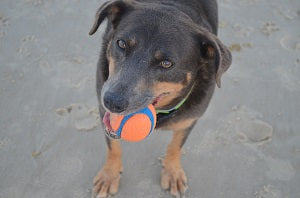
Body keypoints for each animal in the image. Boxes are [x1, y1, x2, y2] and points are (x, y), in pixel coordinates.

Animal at [89, 0, 232, 197]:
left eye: (166, 63)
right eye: (122, 44)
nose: (112, 101)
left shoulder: (190, 120)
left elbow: (176, 145)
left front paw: (172, 173)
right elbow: (113, 147)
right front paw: (109, 175)